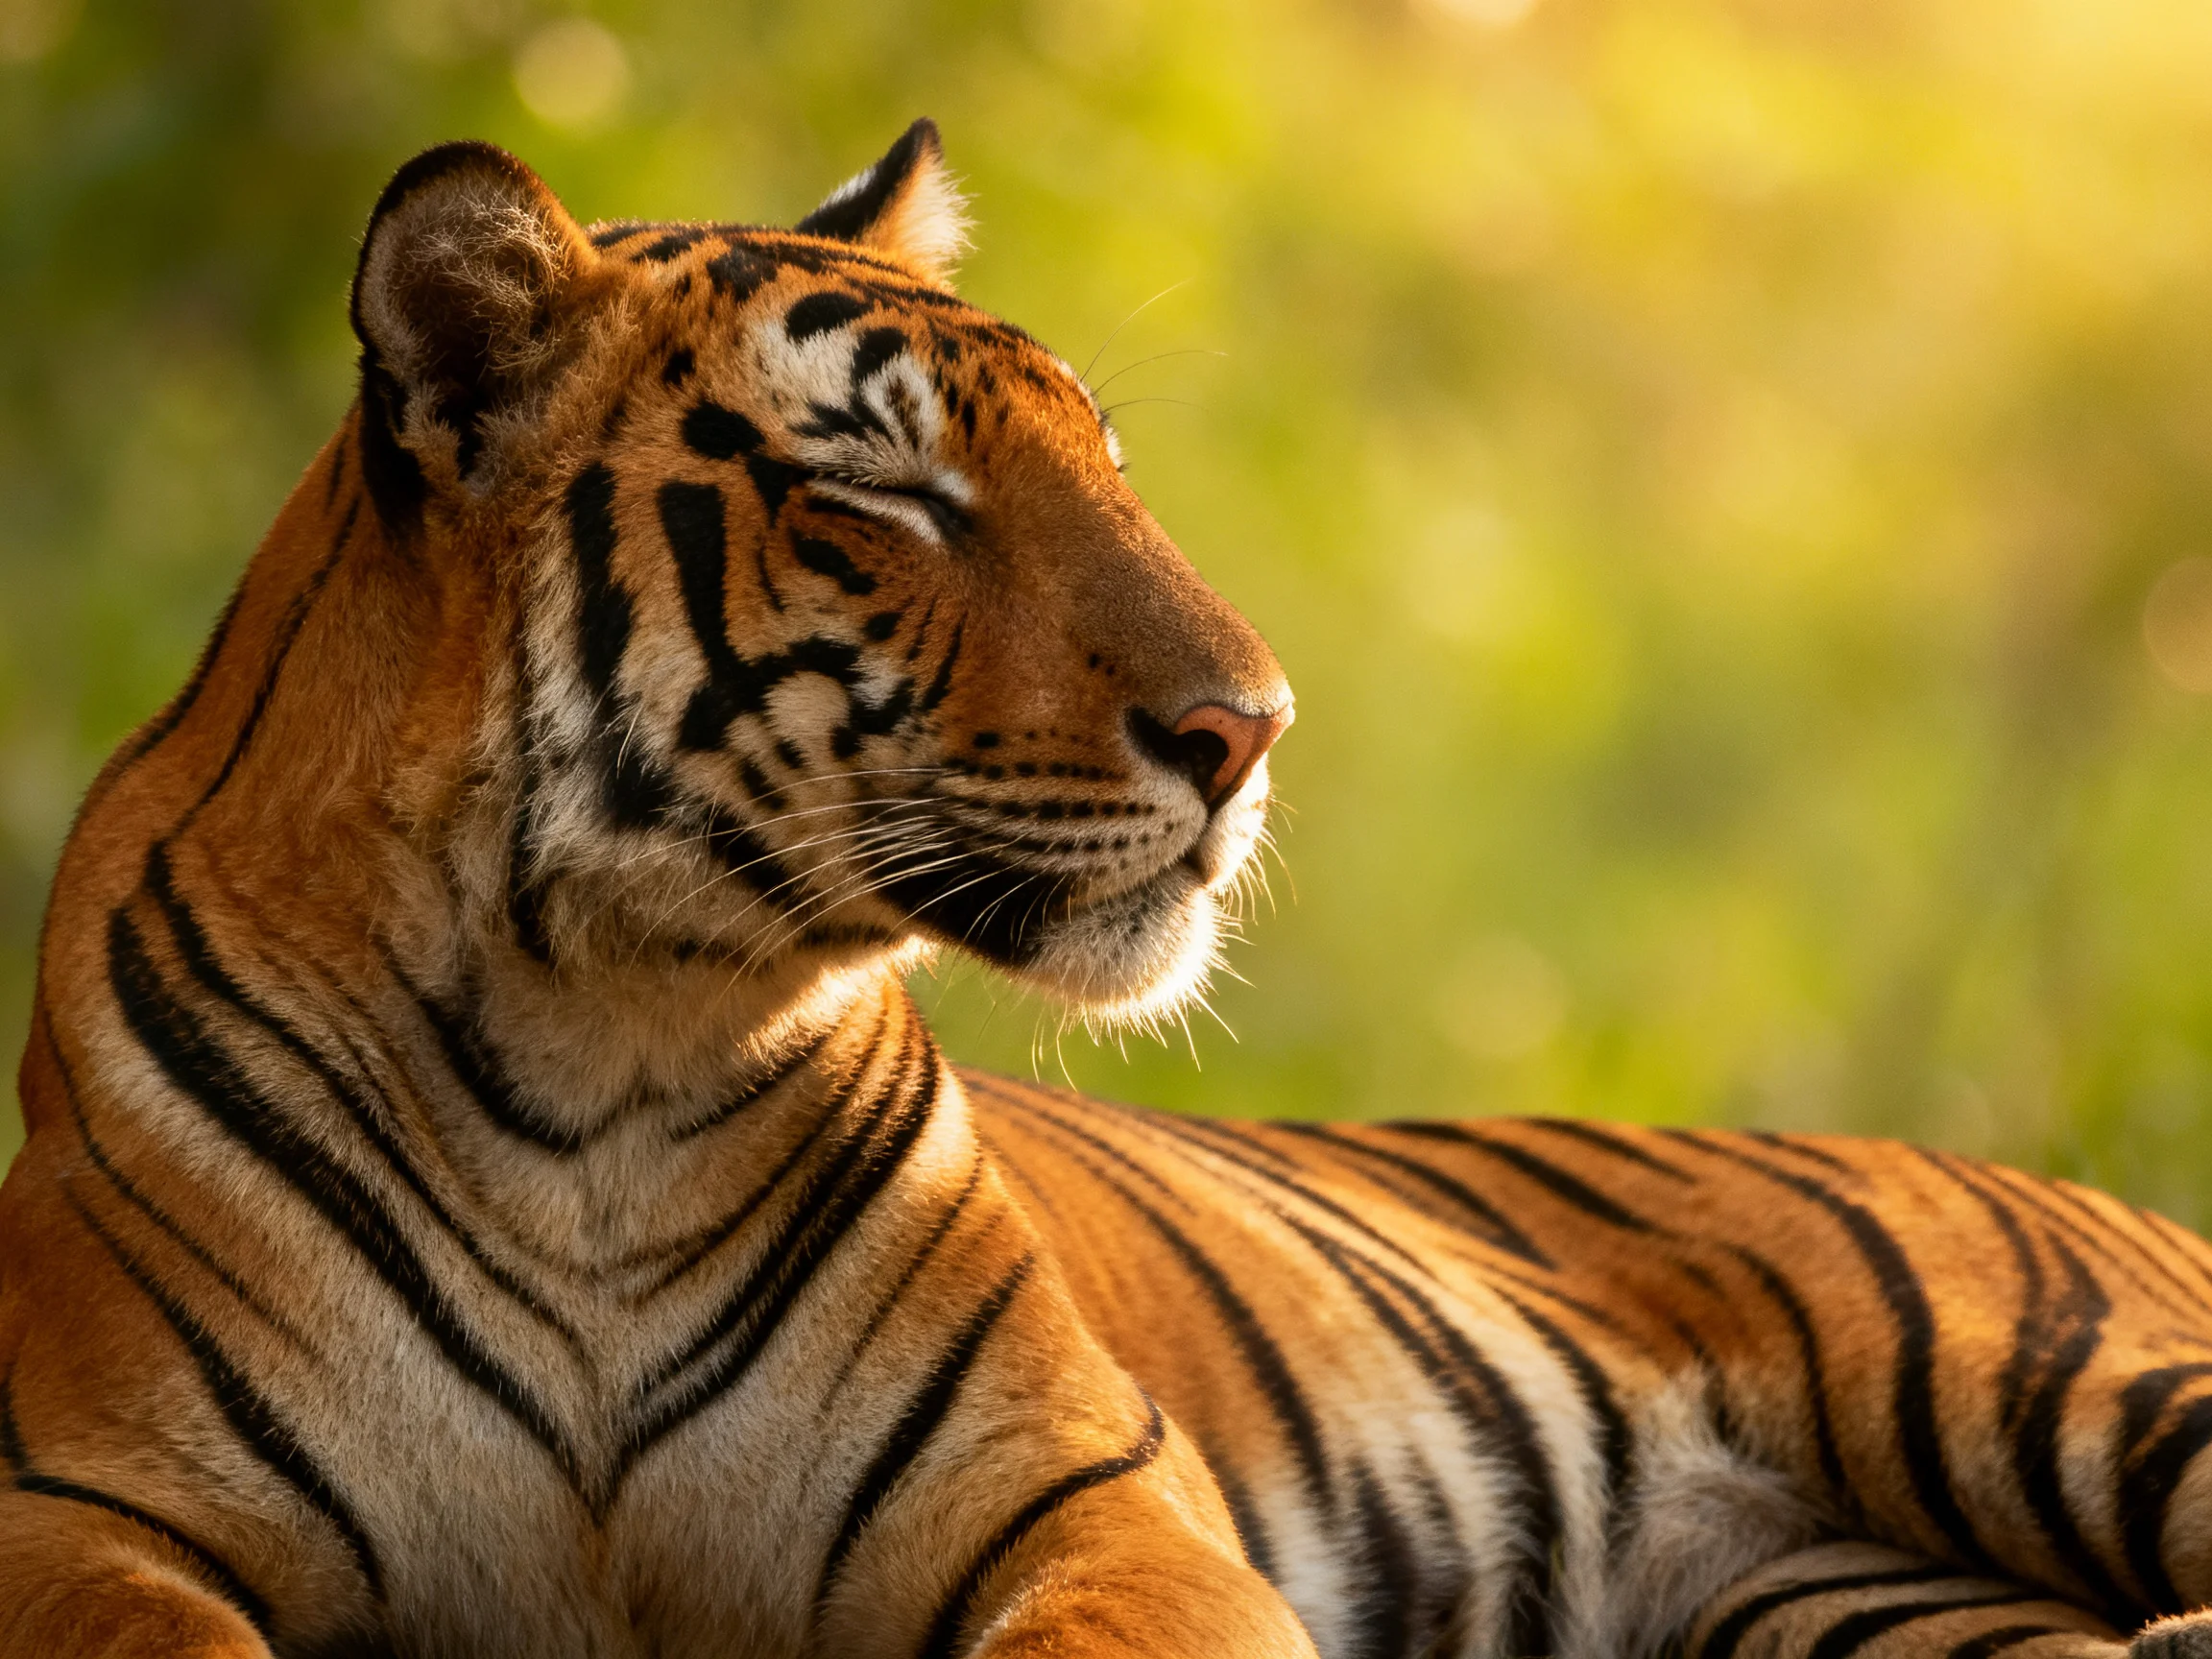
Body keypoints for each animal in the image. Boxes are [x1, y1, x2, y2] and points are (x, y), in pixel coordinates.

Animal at [5, 116, 2212, 1659]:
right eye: (884, 495)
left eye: (1107, 470)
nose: (1255, 723)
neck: (600, 1058)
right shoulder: (83, 1511)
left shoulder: (1083, 1500)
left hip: (2038, 1368)